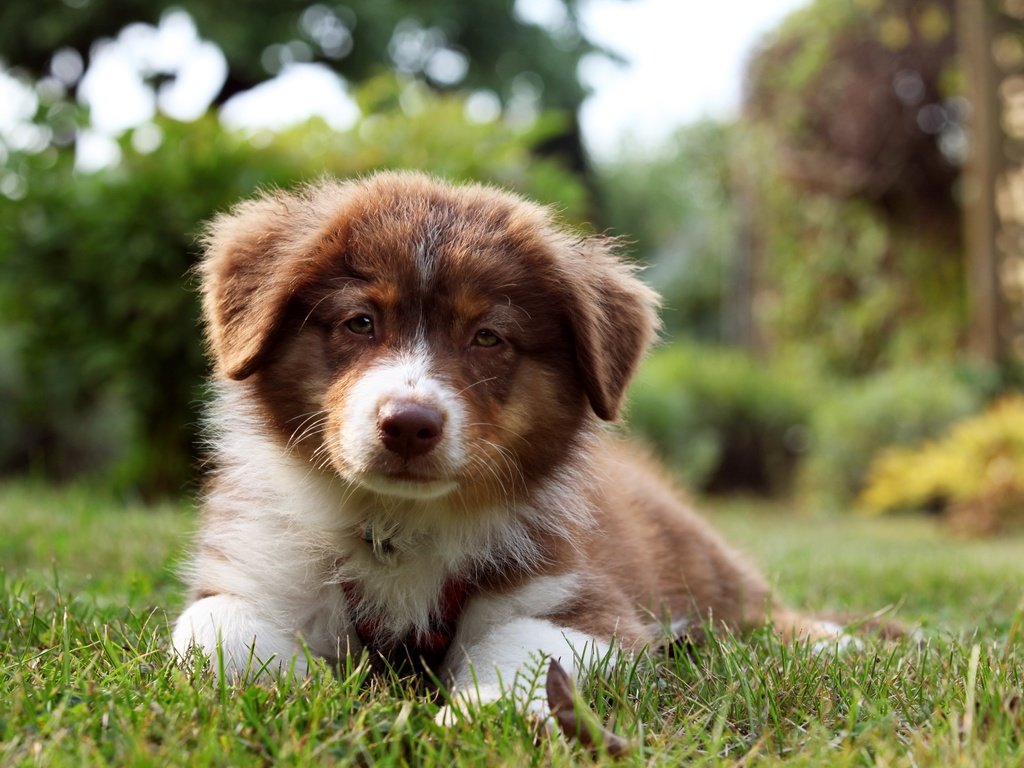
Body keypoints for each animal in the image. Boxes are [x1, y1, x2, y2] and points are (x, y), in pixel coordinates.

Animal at [169, 173, 839, 720]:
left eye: (488, 336)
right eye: (361, 322)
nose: (408, 424)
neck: (398, 527)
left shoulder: (582, 601)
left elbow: (527, 653)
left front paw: (474, 716)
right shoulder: (259, 566)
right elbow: (212, 629)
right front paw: (303, 692)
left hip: (690, 551)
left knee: (753, 606)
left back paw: (836, 642)